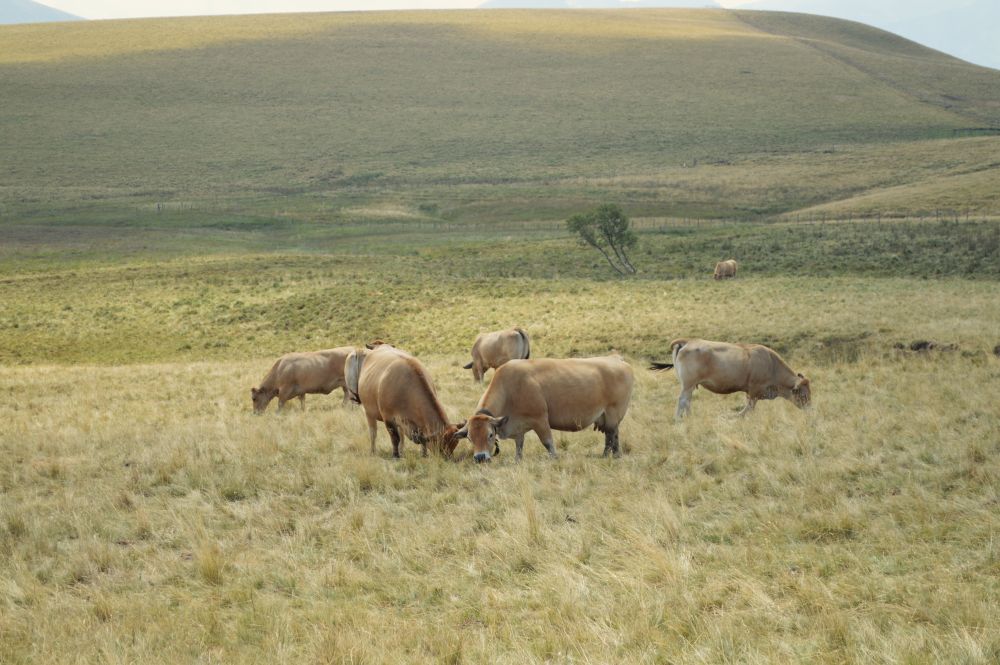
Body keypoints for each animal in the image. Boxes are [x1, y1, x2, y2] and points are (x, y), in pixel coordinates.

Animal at [454, 356, 634, 463]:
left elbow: (548, 443)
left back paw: (615, 456)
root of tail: (617, 360)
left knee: (613, 435)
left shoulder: (540, 420)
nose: (480, 457)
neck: (510, 388)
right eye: (469, 437)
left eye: (490, 434)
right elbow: (519, 447)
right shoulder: (518, 427)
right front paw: (518, 461)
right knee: (609, 437)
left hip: (613, 414)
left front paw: (554, 458)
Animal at [649, 338, 810, 418]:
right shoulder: (754, 391)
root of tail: (688, 342)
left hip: (690, 386)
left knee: (687, 401)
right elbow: (749, 407)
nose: (810, 409)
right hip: (688, 384)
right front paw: (737, 416)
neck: (771, 364)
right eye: (804, 395)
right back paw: (678, 419)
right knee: (682, 400)